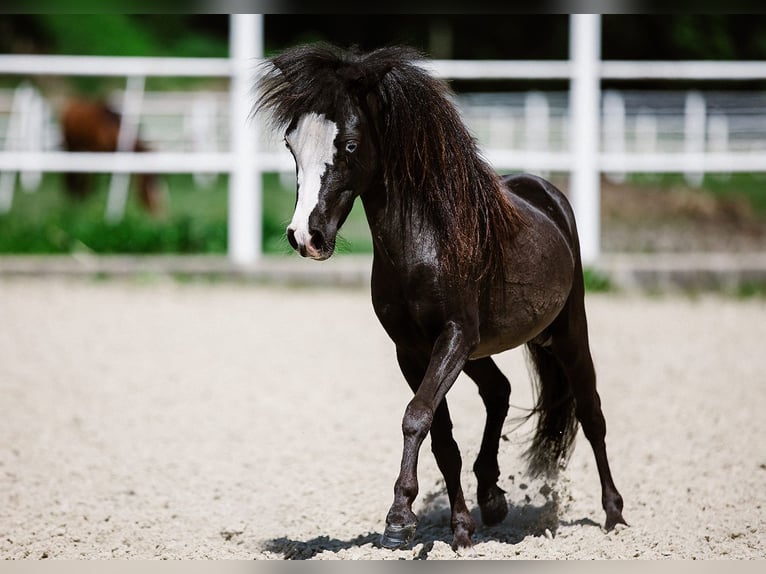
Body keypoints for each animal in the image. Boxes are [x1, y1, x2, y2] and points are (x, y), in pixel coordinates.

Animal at [256, 44, 626, 551]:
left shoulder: (452, 336)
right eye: (292, 144)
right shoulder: (413, 349)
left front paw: (398, 521)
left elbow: (416, 416)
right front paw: (460, 528)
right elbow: (440, 436)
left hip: (567, 333)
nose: (304, 237)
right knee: (499, 391)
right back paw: (492, 498)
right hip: (479, 351)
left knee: (591, 413)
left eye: (349, 144)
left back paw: (614, 515)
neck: (424, 243)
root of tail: (544, 191)